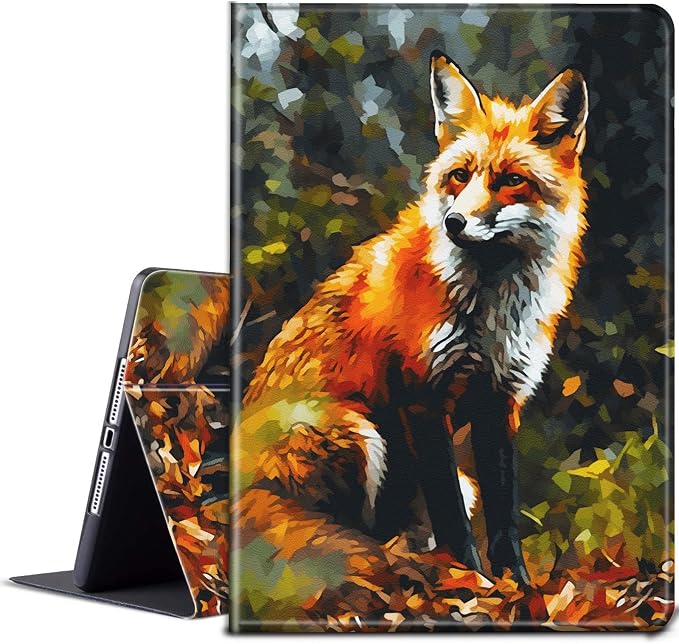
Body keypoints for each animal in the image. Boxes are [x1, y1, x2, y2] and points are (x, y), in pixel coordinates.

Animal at [233, 51, 588, 627]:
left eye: (512, 180)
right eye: (460, 176)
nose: (455, 222)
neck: (488, 310)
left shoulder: (500, 399)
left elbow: (504, 517)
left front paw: (517, 590)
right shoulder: (422, 395)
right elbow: (452, 517)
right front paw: (470, 588)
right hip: (353, 430)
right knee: (361, 537)